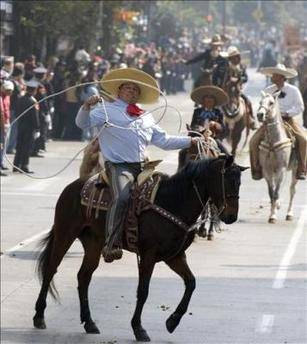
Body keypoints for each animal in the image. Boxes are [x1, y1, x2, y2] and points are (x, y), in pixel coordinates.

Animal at [33, 155, 248, 342]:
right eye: (227, 180)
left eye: (239, 182)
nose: (231, 216)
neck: (173, 201)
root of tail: (73, 186)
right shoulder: (148, 255)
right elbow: (143, 291)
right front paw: (138, 328)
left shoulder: (175, 256)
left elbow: (191, 283)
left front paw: (172, 321)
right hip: (65, 233)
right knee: (51, 269)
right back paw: (39, 316)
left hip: (94, 243)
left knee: (84, 276)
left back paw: (89, 322)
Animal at [258, 92, 298, 223]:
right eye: (260, 102)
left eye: (271, 103)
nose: (260, 115)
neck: (273, 142)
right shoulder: (267, 170)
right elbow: (272, 193)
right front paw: (272, 213)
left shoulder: (282, 168)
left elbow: (276, 193)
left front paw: (273, 216)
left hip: (295, 170)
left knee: (292, 190)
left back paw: (289, 214)